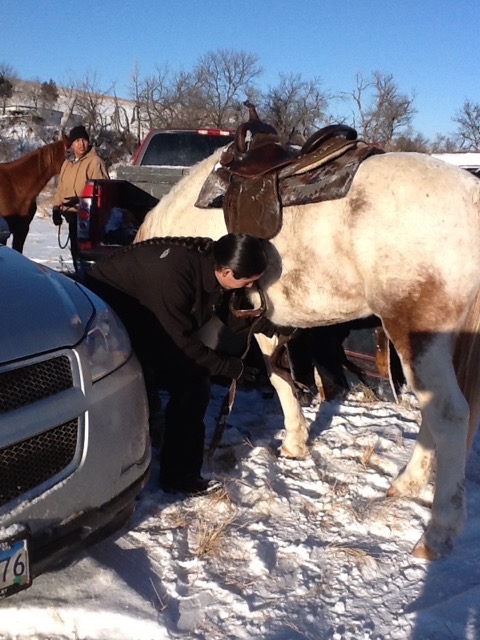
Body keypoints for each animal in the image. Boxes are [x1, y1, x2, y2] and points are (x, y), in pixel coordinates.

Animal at [133, 148, 480, 556]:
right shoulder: (262, 317)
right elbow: (277, 371)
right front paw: (296, 441)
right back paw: (407, 484)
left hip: (417, 335)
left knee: (448, 415)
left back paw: (437, 532)